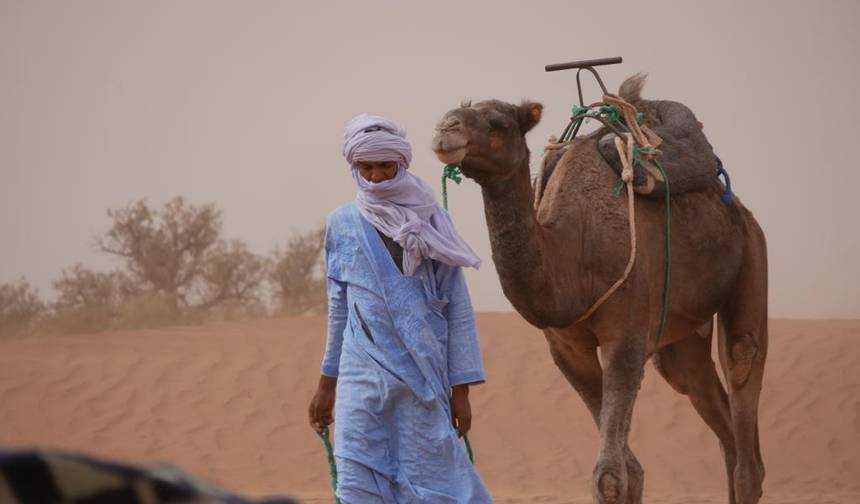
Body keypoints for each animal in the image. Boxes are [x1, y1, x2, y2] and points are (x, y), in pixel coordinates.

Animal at [431, 75, 768, 504]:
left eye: (498, 123)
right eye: (458, 110)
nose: (446, 129)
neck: (573, 257)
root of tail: (737, 209)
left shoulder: (625, 340)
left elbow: (610, 474)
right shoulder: (567, 351)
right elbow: (630, 469)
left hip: (752, 255)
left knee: (743, 365)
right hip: (679, 338)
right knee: (713, 414)